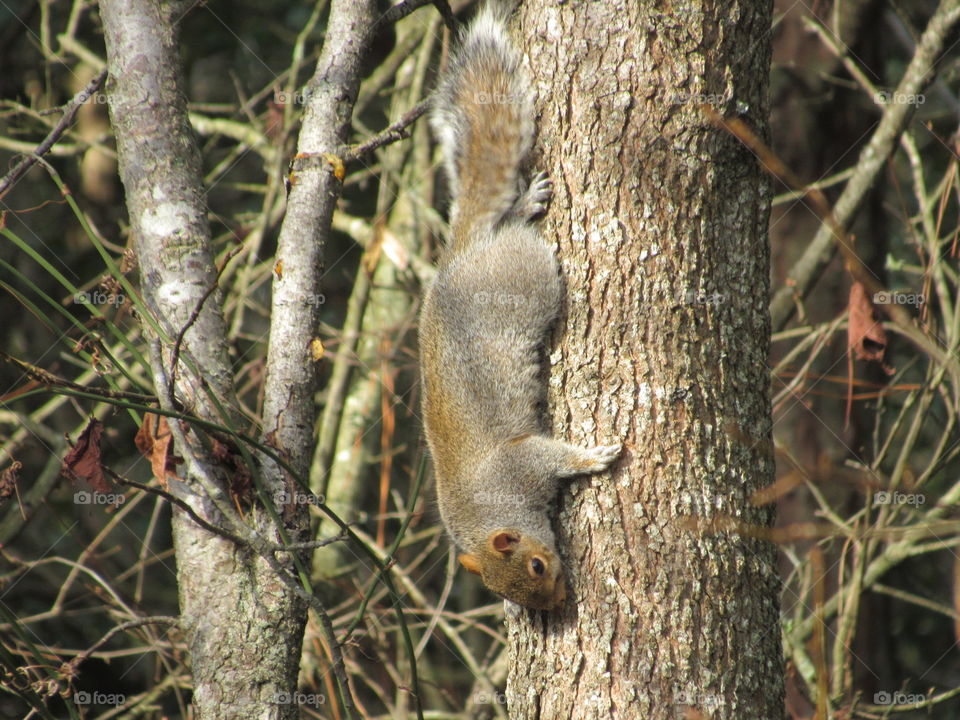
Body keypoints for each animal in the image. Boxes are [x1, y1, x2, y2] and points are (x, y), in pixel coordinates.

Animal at [419, 2, 622, 611]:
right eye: (516, 587)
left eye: (535, 564)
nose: (555, 606)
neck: (492, 507)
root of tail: (460, 255)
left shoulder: (522, 461)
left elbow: (556, 457)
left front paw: (594, 458)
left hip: (528, 277)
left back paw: (527, 205)